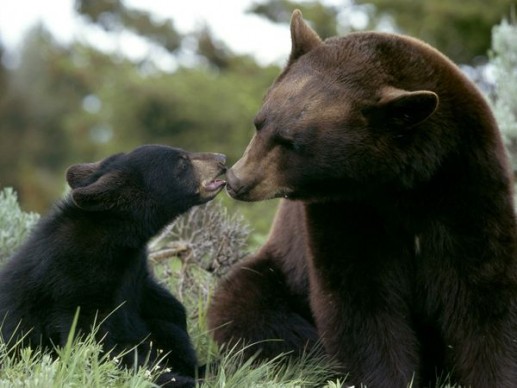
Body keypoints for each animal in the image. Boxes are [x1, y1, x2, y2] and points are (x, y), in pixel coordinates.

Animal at [208, 9, 516, 388]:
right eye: (259, 123)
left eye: (292, 143)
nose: (237, 180)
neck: (402, 185)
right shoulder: (347, 210)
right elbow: (361, 301)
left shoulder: (466, 185)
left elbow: (481, 295)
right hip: (276, 273)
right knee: (247, 307)